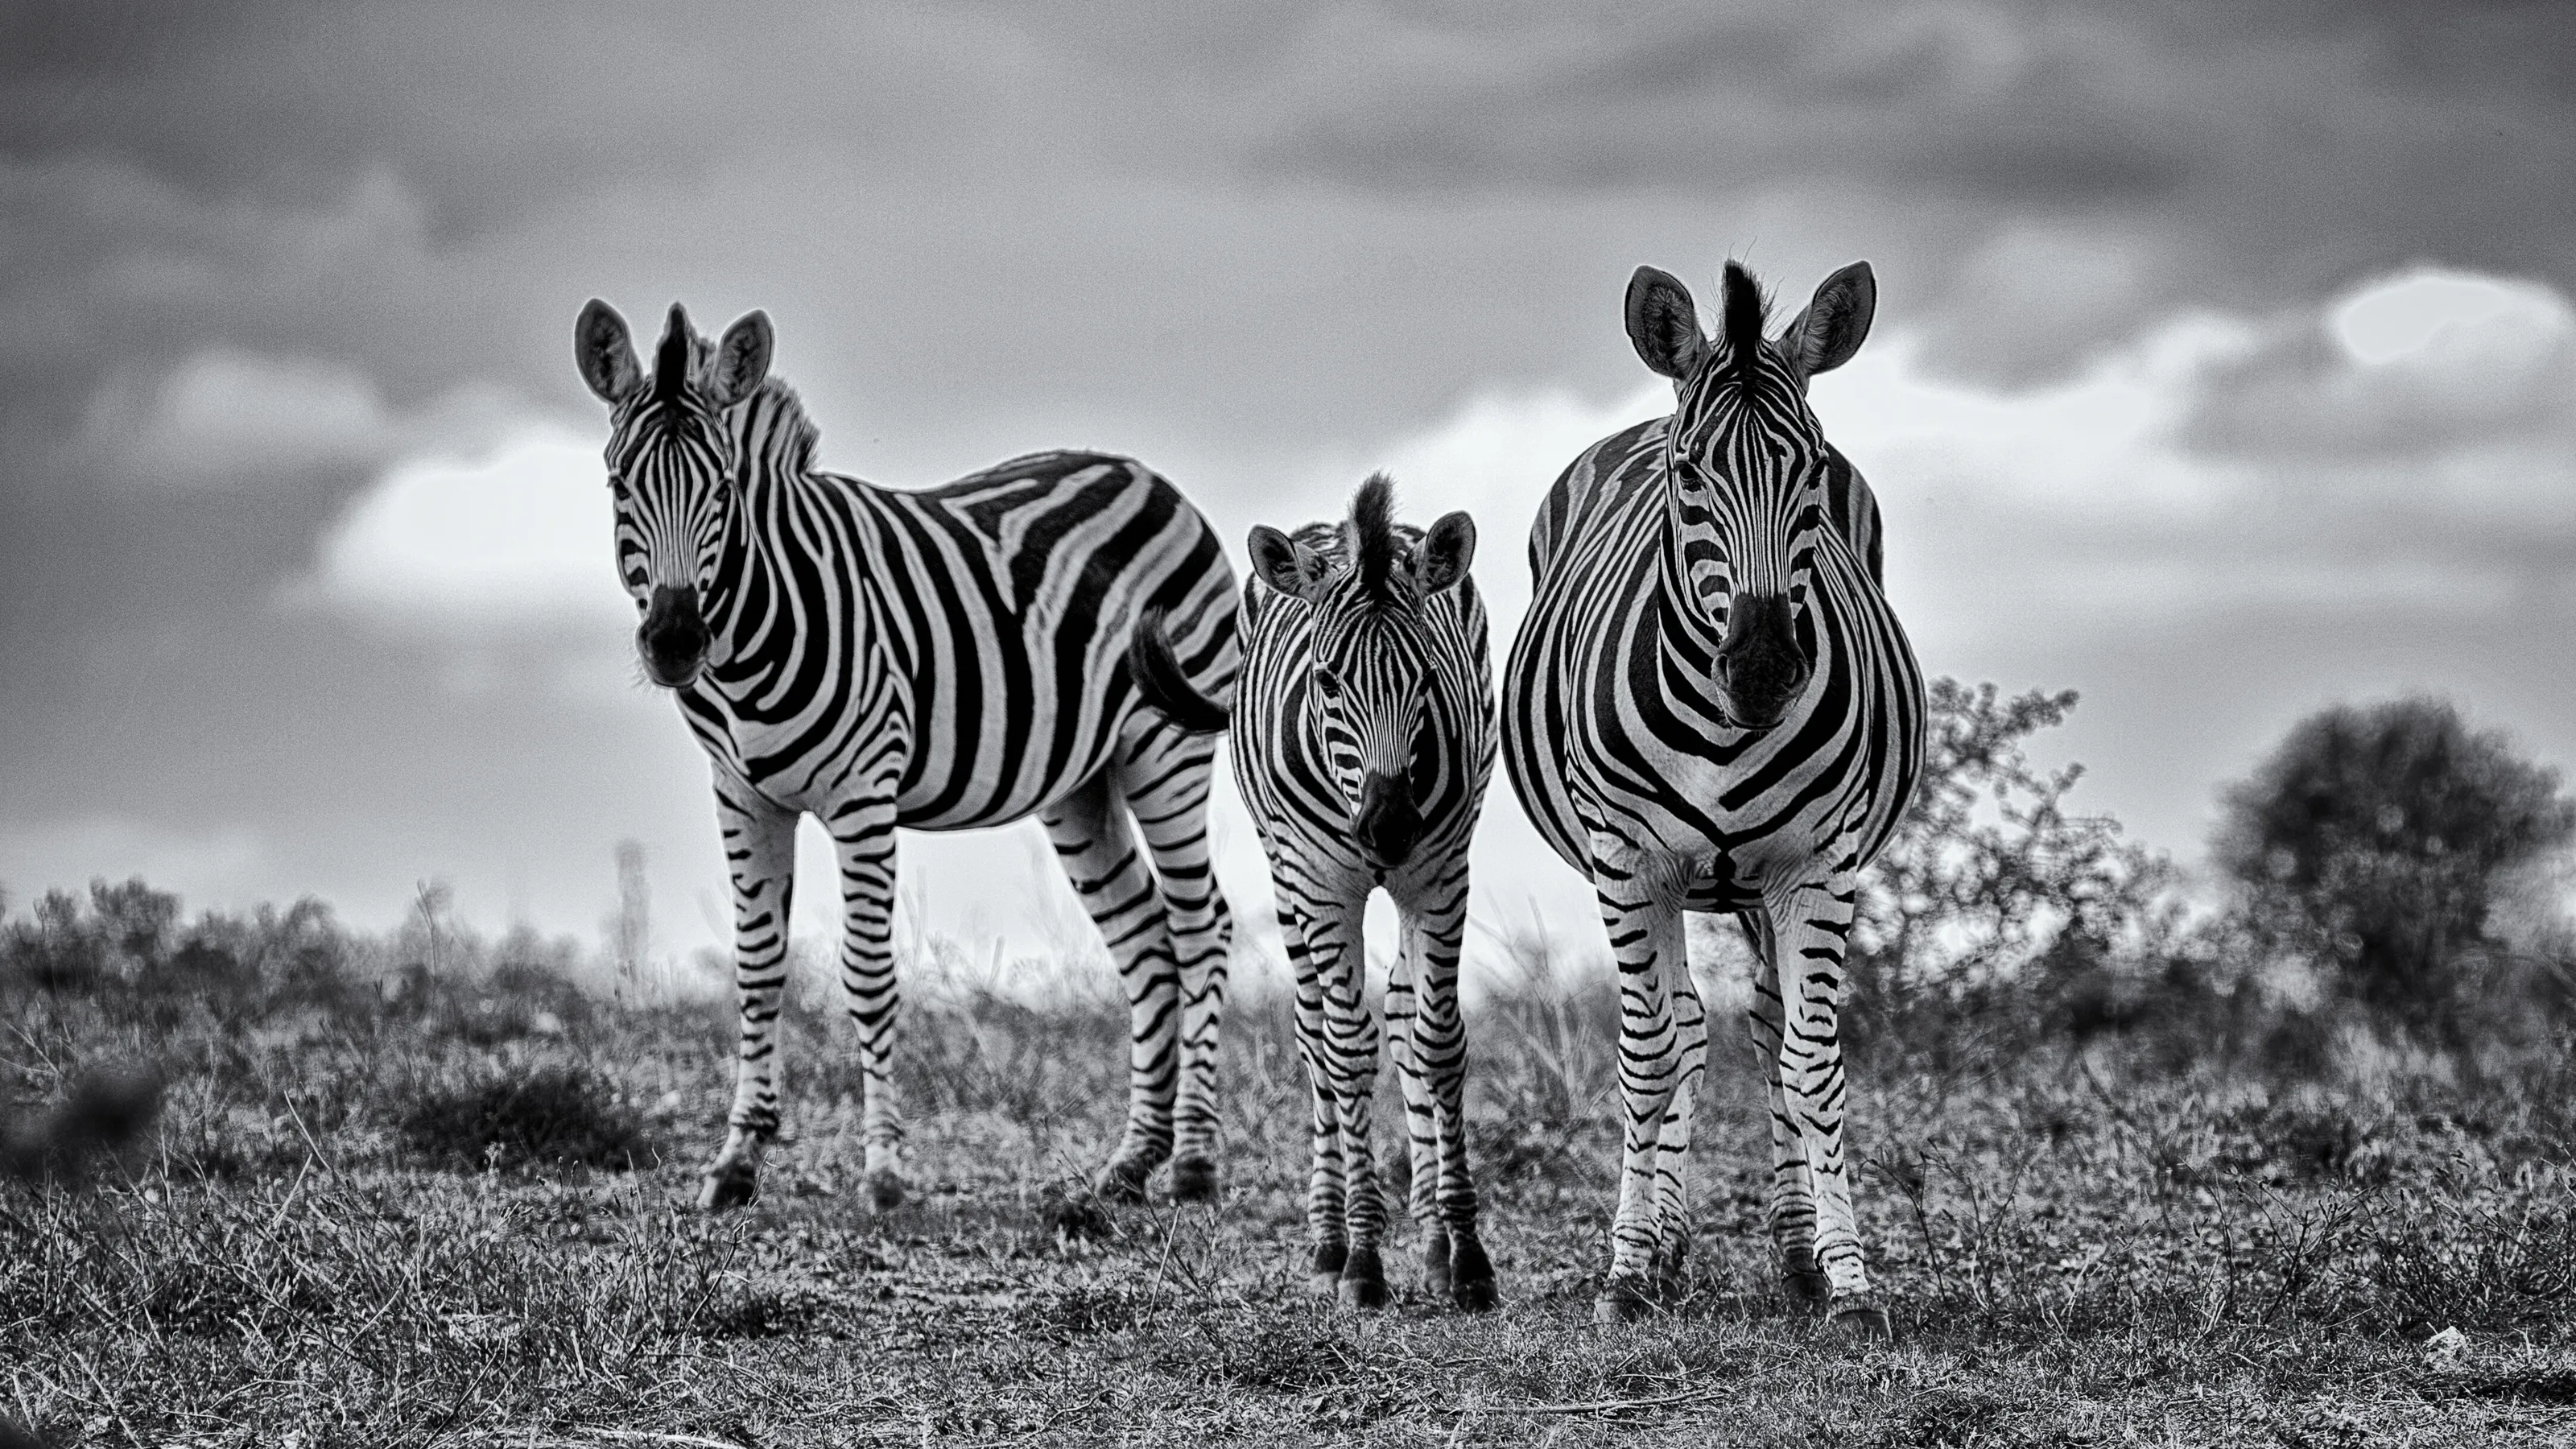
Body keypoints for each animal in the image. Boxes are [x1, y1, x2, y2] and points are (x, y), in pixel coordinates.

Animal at [572, 300, 1241, 1212]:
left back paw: (1195, 1164)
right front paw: (736, 1160)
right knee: (1146, 943)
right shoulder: (742, 794)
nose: (675, 641)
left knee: (1200, 925)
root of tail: (1147, 476)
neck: (753, 637)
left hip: (1166, 748)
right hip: (1081, 783)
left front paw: (885, 1170)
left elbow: (865, 973)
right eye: (618, 486)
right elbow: (756, 968)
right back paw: (1130, 1161)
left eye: (723, 488)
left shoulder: (864, 794)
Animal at [1139, 474, 1497, 1309]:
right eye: (1328, 680)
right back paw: (1329, 1241)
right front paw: (1363, 1258)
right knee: (1314, 1035)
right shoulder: (1324, 882)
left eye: (1427, 679)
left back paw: (1432, 1242)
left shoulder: (1439, 874)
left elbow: (1436, 1044)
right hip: (1286, 876)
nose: (1389, 828)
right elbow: (1345, 1050)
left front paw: (1465, 1253)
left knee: (1401, 1010)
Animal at [1500, 259, 1925, 1333]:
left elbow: (1809, 1060)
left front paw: (1848, 1282)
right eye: (1689, 474)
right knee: (1681, 1031)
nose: (1764, 670)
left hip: (1760, 885)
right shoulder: (1629, 864)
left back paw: (1793, 1252)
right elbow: (1650, 1054)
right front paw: (1625, 1270)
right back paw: (1661, 1247)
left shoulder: (1816, 866)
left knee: (1765, 1030)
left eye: (1809, 472)